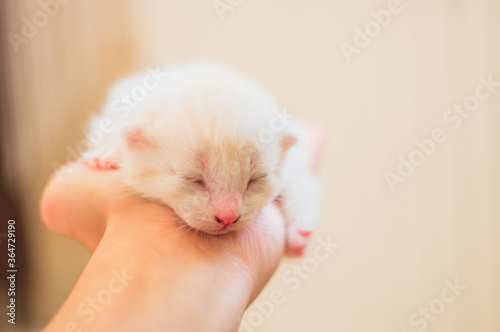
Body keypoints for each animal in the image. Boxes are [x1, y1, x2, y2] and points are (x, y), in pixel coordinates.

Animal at [80, 61, 318, 255]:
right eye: (194, 179)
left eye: (255, 179)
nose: (228, 218)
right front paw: (107, 152)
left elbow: (302, 184)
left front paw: (299, 230)